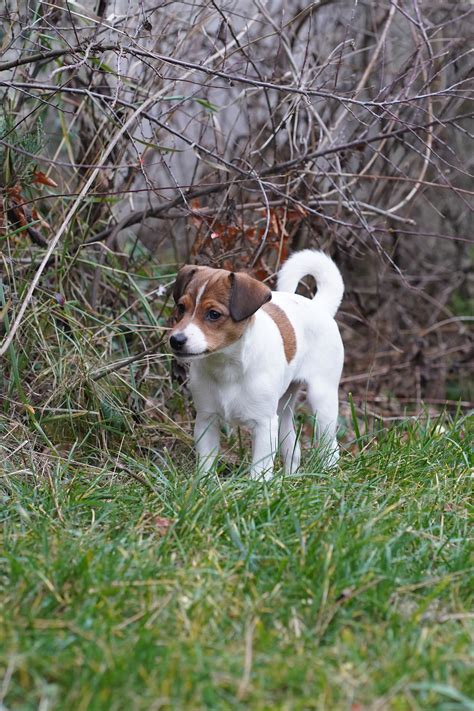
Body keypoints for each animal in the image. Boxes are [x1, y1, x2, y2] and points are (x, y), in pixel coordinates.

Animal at [169, 252, 344, 484]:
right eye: (181, 308)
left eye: (213, 314)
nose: (176, 340)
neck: (227, 367)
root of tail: (319, 306)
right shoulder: (207, 420)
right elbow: (206, 463)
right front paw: (204, 486)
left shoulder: (264, 424)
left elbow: (260, 469)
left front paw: (258, 489)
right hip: (283, 408)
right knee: (292, 447)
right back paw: (291, 480)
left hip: (322, 400)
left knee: (330, 445)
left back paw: (328, 474)